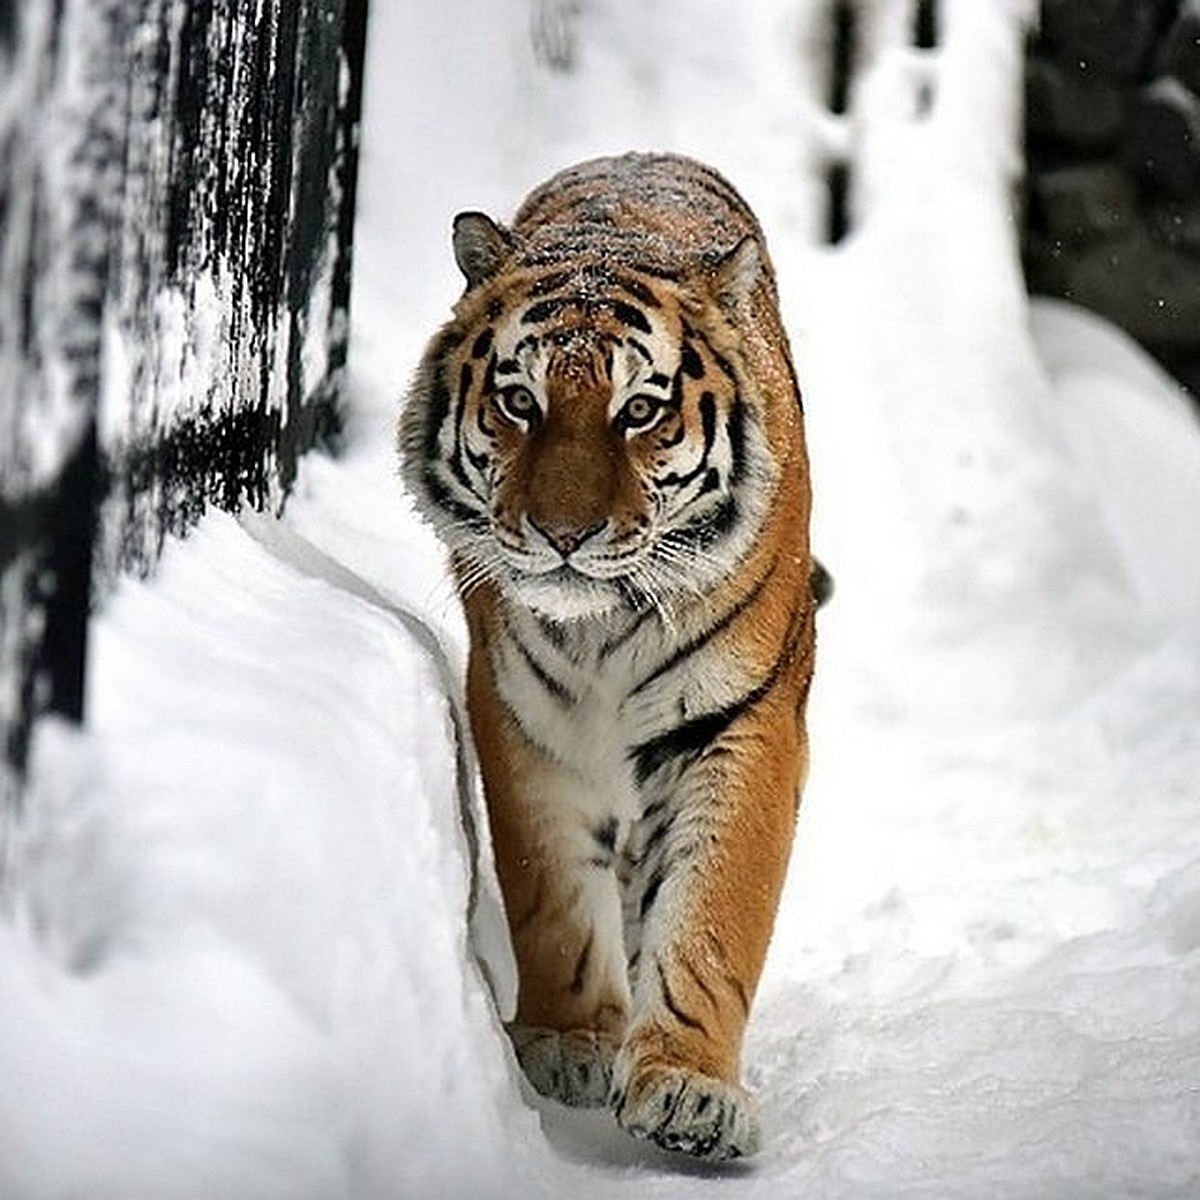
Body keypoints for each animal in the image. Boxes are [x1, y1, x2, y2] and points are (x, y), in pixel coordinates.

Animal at [398, 152, 820, 1161]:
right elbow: (551, 894)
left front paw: (690, 1088)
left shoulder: (743, 720)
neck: (604, 627)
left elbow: (714, 908)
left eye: (640, 412)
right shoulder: (526, 719)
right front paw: (569, 1042)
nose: (563, 535)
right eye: (520, 401)